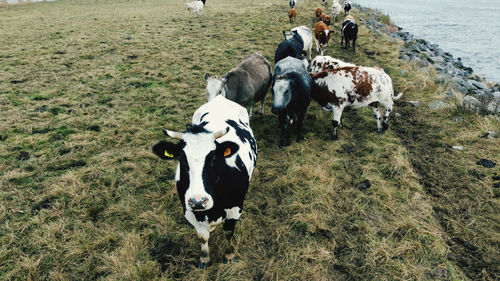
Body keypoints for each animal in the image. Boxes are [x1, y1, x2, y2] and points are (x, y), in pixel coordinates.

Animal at [151, 95, 254, 268]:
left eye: (213, 158)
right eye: (182, 159)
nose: (198, 201)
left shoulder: (236, 208)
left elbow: (228, 232)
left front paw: (229, 255)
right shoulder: (189, 211)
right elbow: (202, 236)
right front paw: (204, 258)